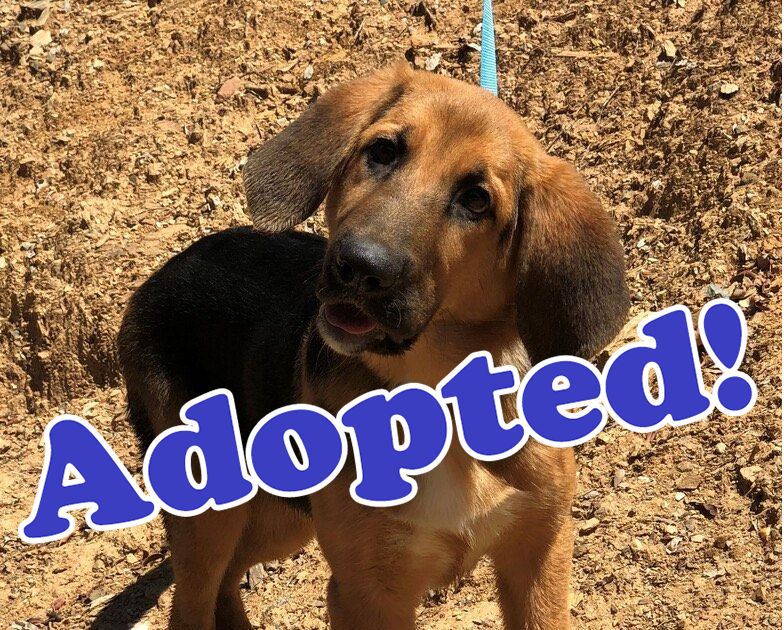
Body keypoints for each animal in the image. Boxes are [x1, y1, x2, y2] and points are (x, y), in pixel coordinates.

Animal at [118, 62, 629, 629]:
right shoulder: (368, 593)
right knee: (194, 600)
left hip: (285, 517)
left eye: (476, 199)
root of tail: (158, 278)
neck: (439, 396)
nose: (360, 266)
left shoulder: (540, 551)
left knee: (228, 580)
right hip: (211, 517)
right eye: (383, 151)